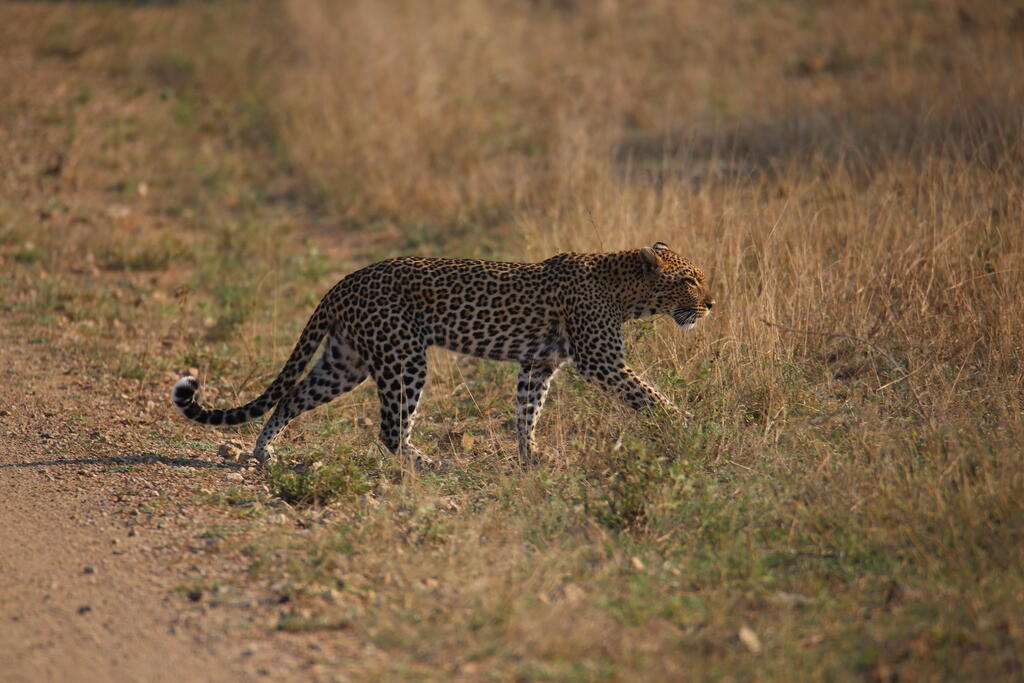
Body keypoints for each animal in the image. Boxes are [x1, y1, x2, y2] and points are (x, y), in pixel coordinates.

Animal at [171, 242, 714, 468]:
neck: (626, 292)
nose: (711, 304)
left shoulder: (537, 363)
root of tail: (343, 283)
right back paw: (429, 464)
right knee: (391, 429)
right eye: (690, 280)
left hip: (344, 362)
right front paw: (687, 427)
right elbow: (649, 395)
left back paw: (264, 453)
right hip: (402, 357)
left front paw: (530, 456)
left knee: (290, 398)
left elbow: (528, 410)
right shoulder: (601, 360)